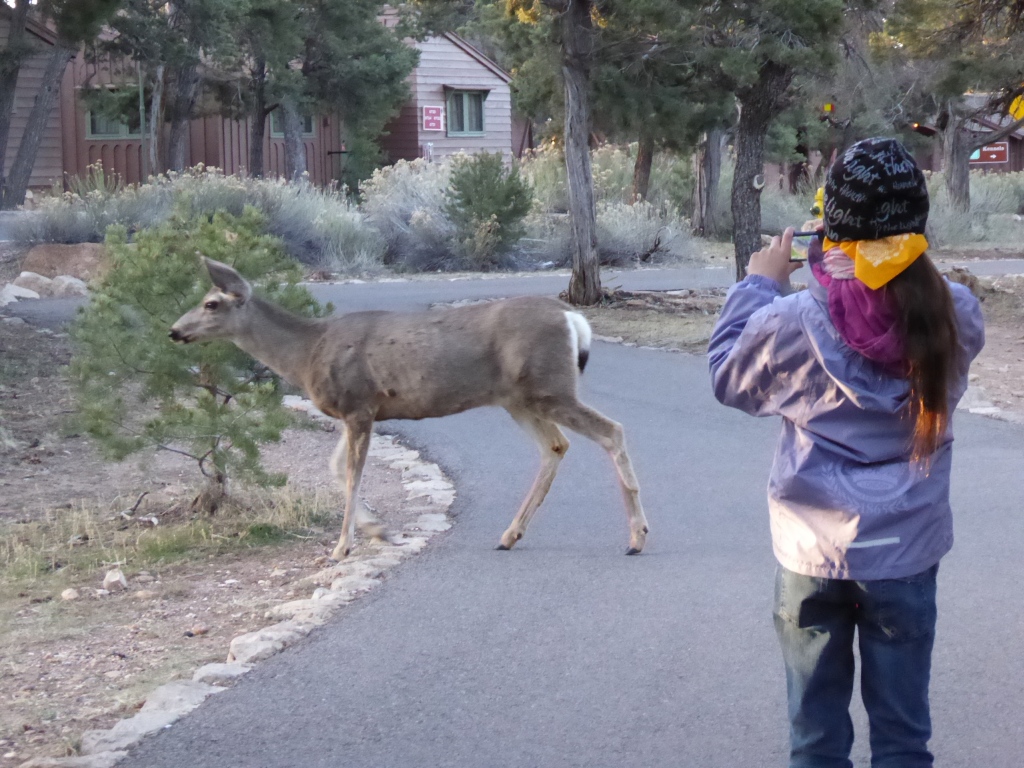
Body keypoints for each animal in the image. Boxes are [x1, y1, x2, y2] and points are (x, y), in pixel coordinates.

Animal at [169, 258, 649, 561]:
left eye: (212, 303)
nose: (174, 331)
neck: (307, 352)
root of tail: (575, 320)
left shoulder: (358, 404)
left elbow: (351, 474)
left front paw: (341, 547)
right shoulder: (361, 412)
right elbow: (335, 466)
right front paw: (377, 530)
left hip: (550, 388)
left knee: (612, 430)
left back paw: (637, 537)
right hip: (520, 399)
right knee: (556, 446)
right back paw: (509, 535)